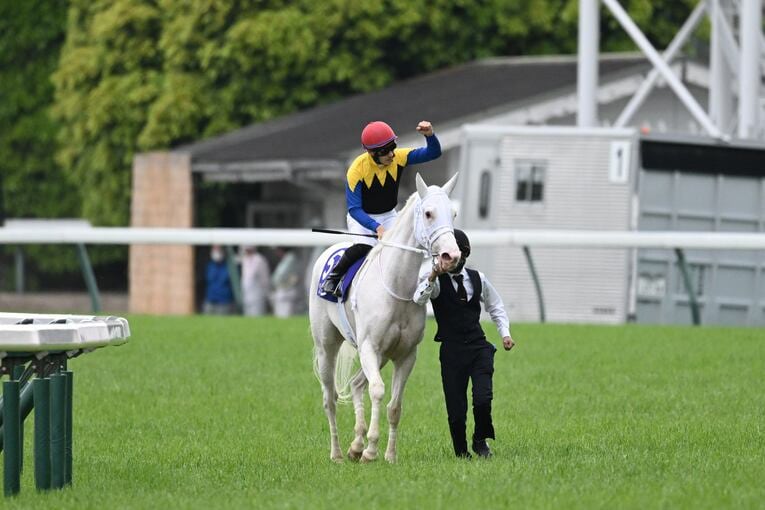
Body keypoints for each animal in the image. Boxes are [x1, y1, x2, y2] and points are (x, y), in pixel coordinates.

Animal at [309, 173, 461, 463]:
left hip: (381, 357)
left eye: (454, 213)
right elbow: (378, 391)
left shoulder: (406, 354)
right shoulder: (370, 346)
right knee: (329, 398)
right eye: (428, 213)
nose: (452, 256)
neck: (396, 286)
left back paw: (354, 445)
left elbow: (395, 405)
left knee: (356, 384)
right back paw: (337, 453)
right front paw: (370, 450)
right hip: (326, 346)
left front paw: (388, 455)